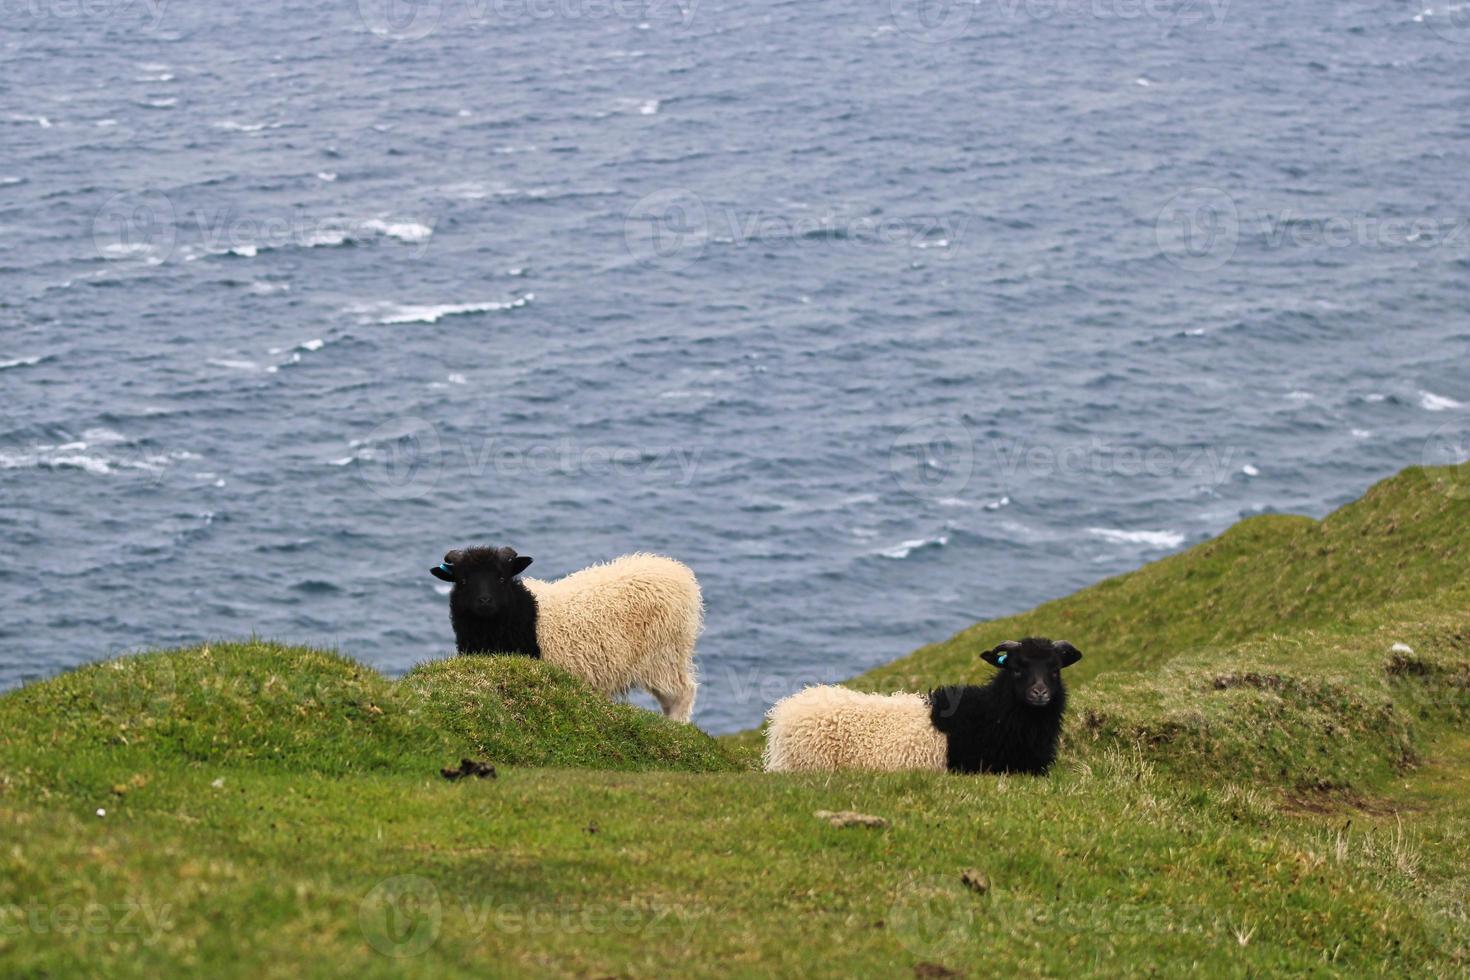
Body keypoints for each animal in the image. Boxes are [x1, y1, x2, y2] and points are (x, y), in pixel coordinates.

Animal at [429, 549, 702, 725]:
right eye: (463, 580)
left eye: (502, 577)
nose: (484, 601)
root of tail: (677, 572)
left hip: (664, 655)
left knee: (683, 692)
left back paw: (676, 727)